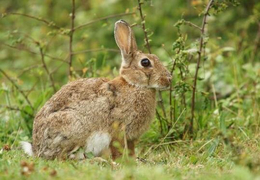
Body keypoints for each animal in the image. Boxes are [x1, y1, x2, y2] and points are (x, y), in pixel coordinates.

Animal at [21, 20, 172, 160]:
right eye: (145, 62)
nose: (169, 79)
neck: (134, 85)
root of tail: (38, 149)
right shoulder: (118, 130)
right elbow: (118, 149)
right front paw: (122, 162)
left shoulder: (131, 139)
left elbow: (131, 151)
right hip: (74, 130)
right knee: (64, 158)